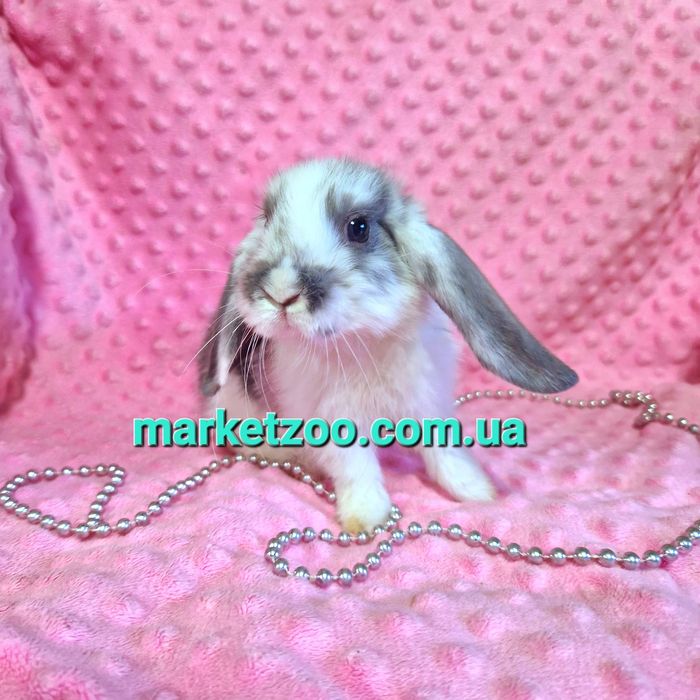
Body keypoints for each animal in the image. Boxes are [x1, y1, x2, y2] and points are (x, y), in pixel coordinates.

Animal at [198, 157, 578, 532]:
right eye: (266, 218)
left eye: (359, 228)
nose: (280, 292)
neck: (362, 339)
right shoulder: (334, 420)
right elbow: (356, 468)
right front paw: (365, 517)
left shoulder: (429, 400)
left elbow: (445, 451)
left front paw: (475, 490)